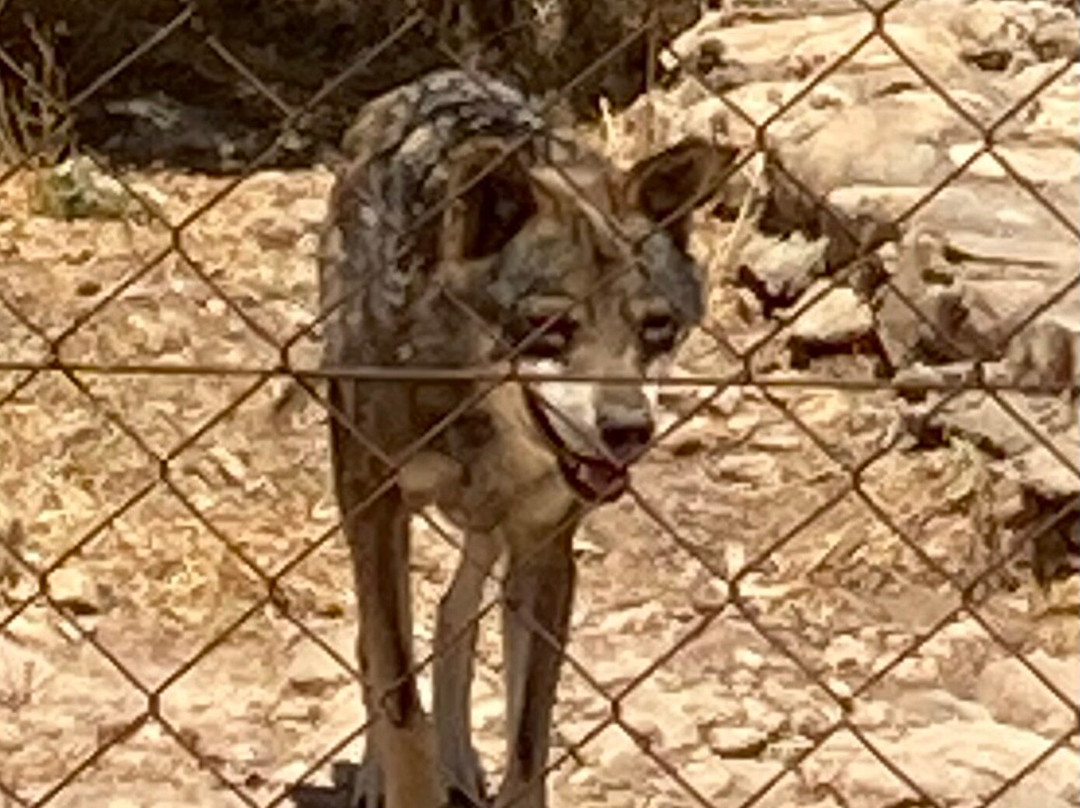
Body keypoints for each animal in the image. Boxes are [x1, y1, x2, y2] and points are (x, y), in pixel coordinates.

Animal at [290, 69, 735, 808]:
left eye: (657, 329)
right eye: (550, 331)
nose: (628, 430)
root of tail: (433, 80)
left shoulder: (545, 549)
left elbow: (529, 741)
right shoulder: (377, 513)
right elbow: (397, 691)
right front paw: (405, 777)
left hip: (490, 530)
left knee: (454, 613)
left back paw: (461, 760)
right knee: (378, 646)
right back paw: (385, 773)